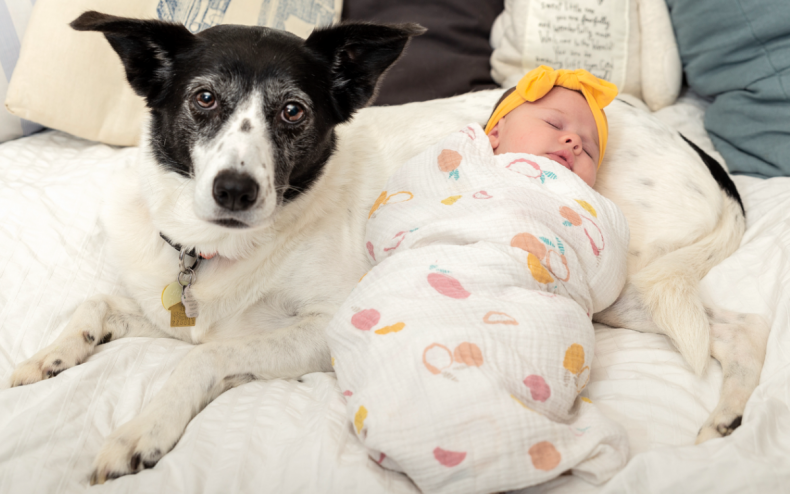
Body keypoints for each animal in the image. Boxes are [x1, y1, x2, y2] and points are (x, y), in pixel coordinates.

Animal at [9, 9, 772, 484]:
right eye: (203, 99)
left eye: (294, 112)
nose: (234, 190)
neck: (214, 253)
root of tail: (696, 153)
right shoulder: (168, 307)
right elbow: (97, 304)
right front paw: (47, 358)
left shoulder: (316, 330)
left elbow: (205, 359)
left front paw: (143, 432)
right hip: (632, 293)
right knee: (738, 329)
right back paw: (729, 415)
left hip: (621, 273)